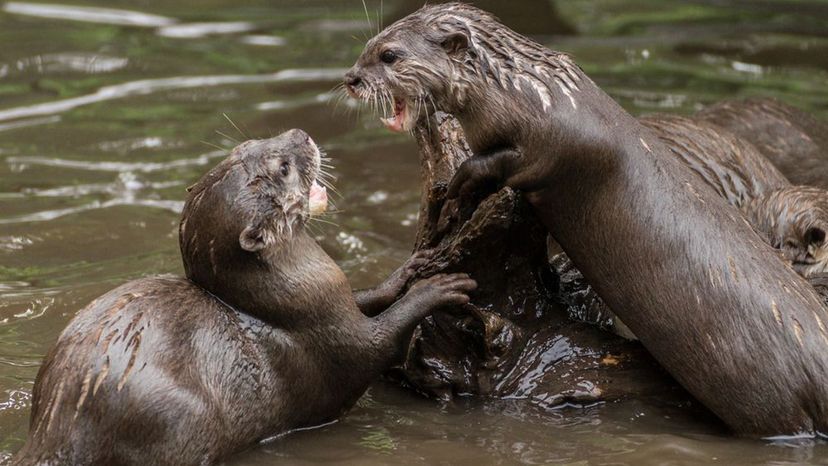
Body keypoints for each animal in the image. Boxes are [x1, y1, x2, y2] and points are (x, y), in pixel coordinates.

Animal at [11, 128, 478, 466]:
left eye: (250, 143)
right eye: (284, 168)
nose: (301, 132)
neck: (286, 300)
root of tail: (58, 428)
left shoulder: (336, 300)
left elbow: (366, 296)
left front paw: (415, 266)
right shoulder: (332, 342)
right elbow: (381, 339)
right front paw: (437, 289)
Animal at [344, 2, 828, 436]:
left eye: (389, 55)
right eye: (366, 46)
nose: (351, 78)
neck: (530, 93)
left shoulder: (547, 144)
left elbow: (501, 163)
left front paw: (458, 186)